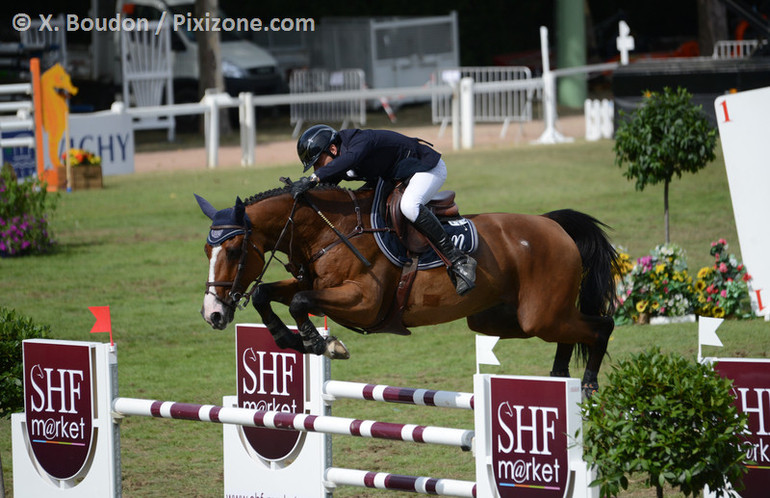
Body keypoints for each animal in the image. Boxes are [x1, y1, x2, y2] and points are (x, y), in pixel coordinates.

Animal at [198, 181, 616, 394]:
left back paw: (588, 383)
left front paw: (323, 344)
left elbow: (299, 301)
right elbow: (265, 293)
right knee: (568, 334)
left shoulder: (363, 301)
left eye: (233, 250)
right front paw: (290, 339)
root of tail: (554, 226)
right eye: (206, 250)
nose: (212, 314)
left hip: (538, 316)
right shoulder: (312, 283)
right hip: (499, 320)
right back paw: (560, 377)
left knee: (601, 326)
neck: (328, 228)